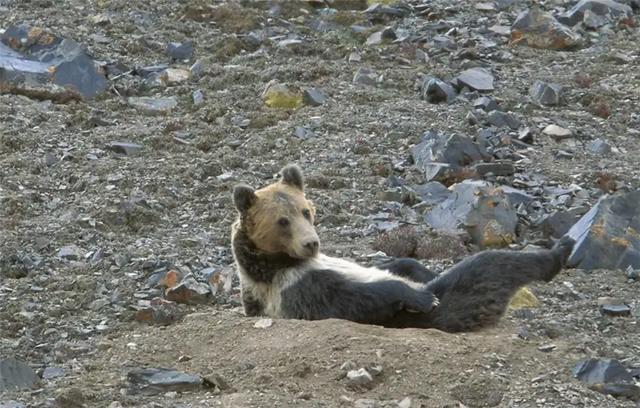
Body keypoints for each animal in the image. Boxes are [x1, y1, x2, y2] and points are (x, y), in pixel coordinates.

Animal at [231, 164, 576, 334]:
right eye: (282, 221)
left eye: (306, 211)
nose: (311, 243)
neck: (278, 263)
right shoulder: (296, 288)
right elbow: (358, 298)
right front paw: (420, 296)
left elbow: (398, 264)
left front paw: (416, 272)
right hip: (463, 299)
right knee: (488, 267)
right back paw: (557, 252)